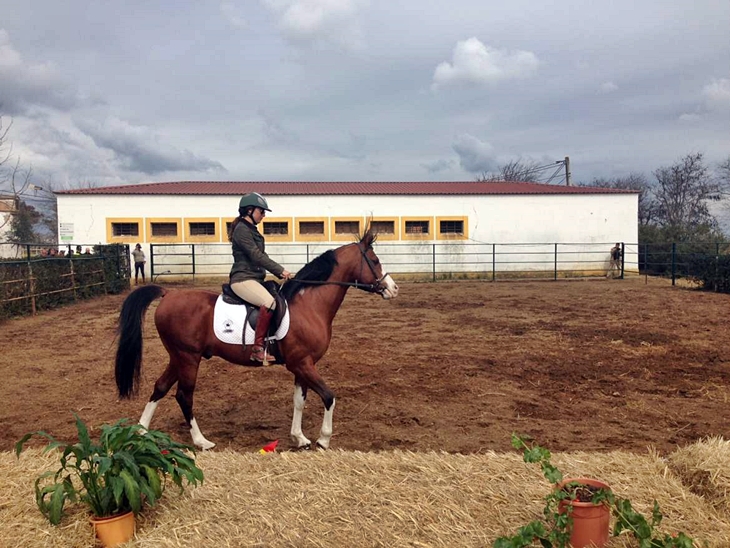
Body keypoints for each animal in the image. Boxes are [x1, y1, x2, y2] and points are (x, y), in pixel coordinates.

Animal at [114, 227, 398, 450]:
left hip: (179, 357)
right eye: (375, 260)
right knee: (184, 396)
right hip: (188, 358)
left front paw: (299, 438)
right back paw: (201, 441)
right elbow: (329, 397)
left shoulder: (302, 365)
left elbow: (299, 401)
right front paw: (323, 439)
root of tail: (168, 293)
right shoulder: (303, 364)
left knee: (160, 387)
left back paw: (141, 432)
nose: (393, 289)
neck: (310, 305)